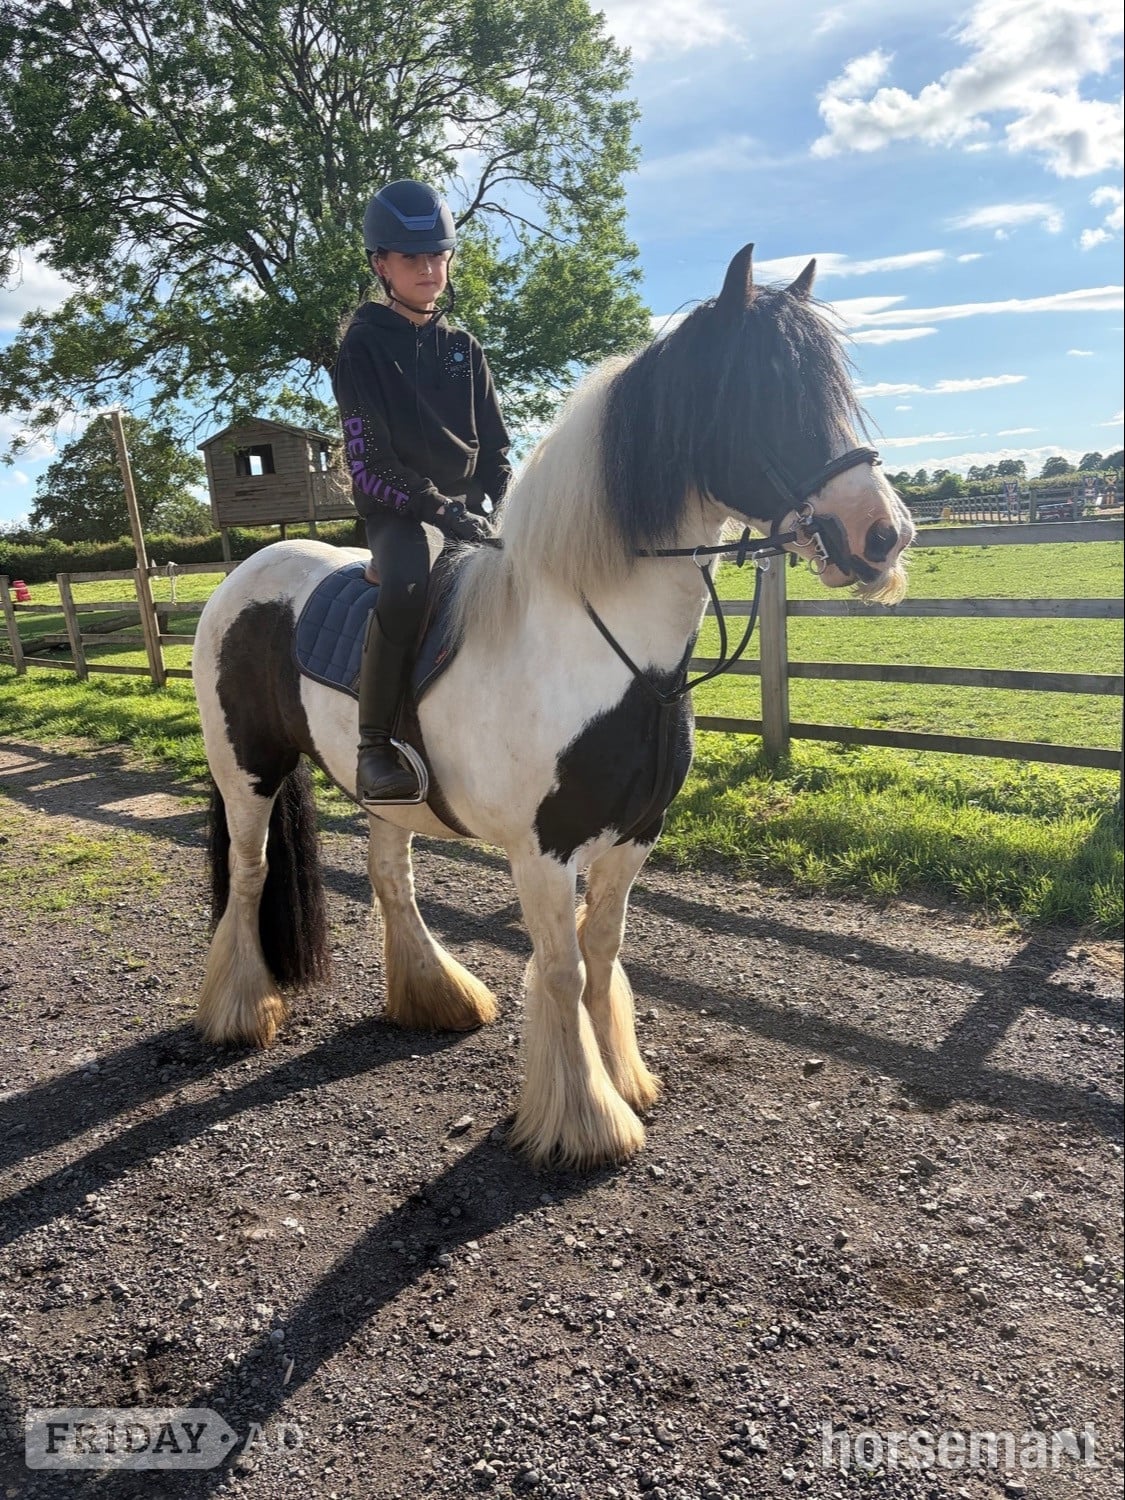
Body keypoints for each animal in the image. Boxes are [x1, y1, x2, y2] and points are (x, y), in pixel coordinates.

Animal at [191, 245, 914, 1170]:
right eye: (759, 394)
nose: (881, 537)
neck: (604, 648)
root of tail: (243, 574)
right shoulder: (541, 849)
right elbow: (562, 967)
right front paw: (586, 1118)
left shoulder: (635, 835)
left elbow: (601, 951)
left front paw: (623, 1077)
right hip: (247, 772)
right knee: (249, 874)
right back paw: (241, 1010)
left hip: (383, 792)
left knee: (391, 877)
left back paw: (434, 994)